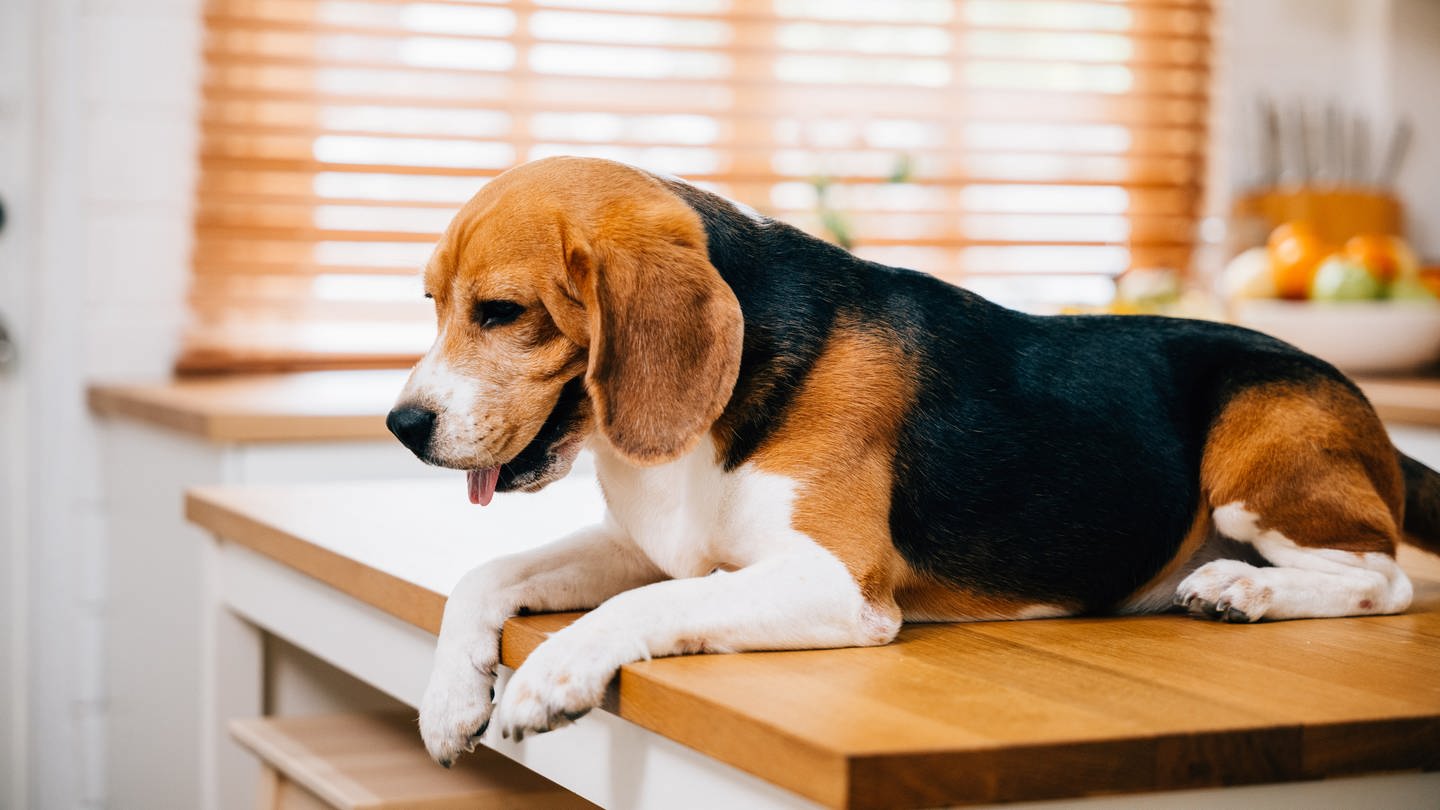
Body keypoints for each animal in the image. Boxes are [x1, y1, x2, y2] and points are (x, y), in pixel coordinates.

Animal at [388, 154, 1440, 760]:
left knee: (1382, 577)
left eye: (502, 313)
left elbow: (647, 607)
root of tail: (1369, 416)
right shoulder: (644, 546)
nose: (402, 424)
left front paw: (550, 675)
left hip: (1257, 442)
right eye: (435, 303)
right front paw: (449, 699)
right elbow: (485, 574)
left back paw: (1247, 590)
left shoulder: (836, 583)